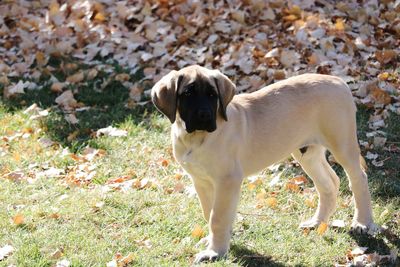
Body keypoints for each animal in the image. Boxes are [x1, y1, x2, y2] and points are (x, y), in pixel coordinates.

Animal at [150, 65, 378, 264]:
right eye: (187, 94)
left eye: (213, 95)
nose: (205, 115)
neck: (195, 138)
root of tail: (339, 82)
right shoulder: (201, 181)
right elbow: (209, 212)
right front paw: (213, 242)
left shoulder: (228, 180)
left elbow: (218, 217)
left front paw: (215, 252)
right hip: (308, 153)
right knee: (329, 183)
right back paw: (317, 222)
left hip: (342, 144)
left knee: (358, 179)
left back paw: (362, 223)